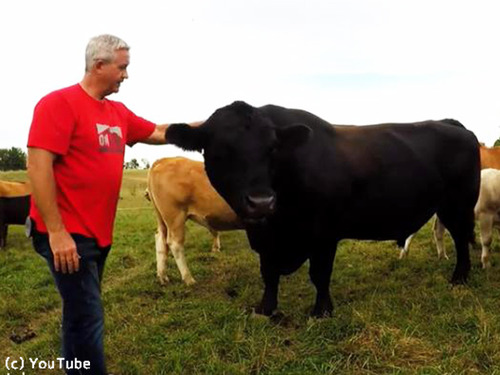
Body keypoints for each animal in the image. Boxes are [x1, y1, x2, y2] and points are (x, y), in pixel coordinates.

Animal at [165, 102, 480, 318]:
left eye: (272, 149)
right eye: (220, 151)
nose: (261, 201)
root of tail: (450, 124)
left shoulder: (325, 235)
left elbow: (319, 274)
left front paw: (321, 311)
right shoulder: (265, 240)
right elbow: (269, 273)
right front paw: (266, 309)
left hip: (459, 205)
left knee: (462, 240)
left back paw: (459, 278)